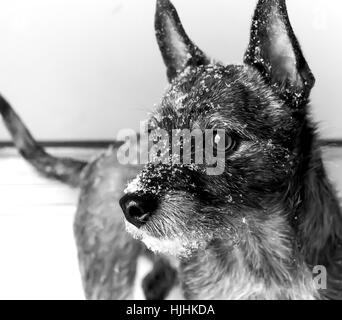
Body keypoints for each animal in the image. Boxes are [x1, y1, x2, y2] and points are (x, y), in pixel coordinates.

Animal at [0, 0, 342, 300]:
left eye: (220, 140)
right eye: (155, 136)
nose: (130, 205)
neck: (255, 250)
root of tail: (97, 159)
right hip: (109, 268)